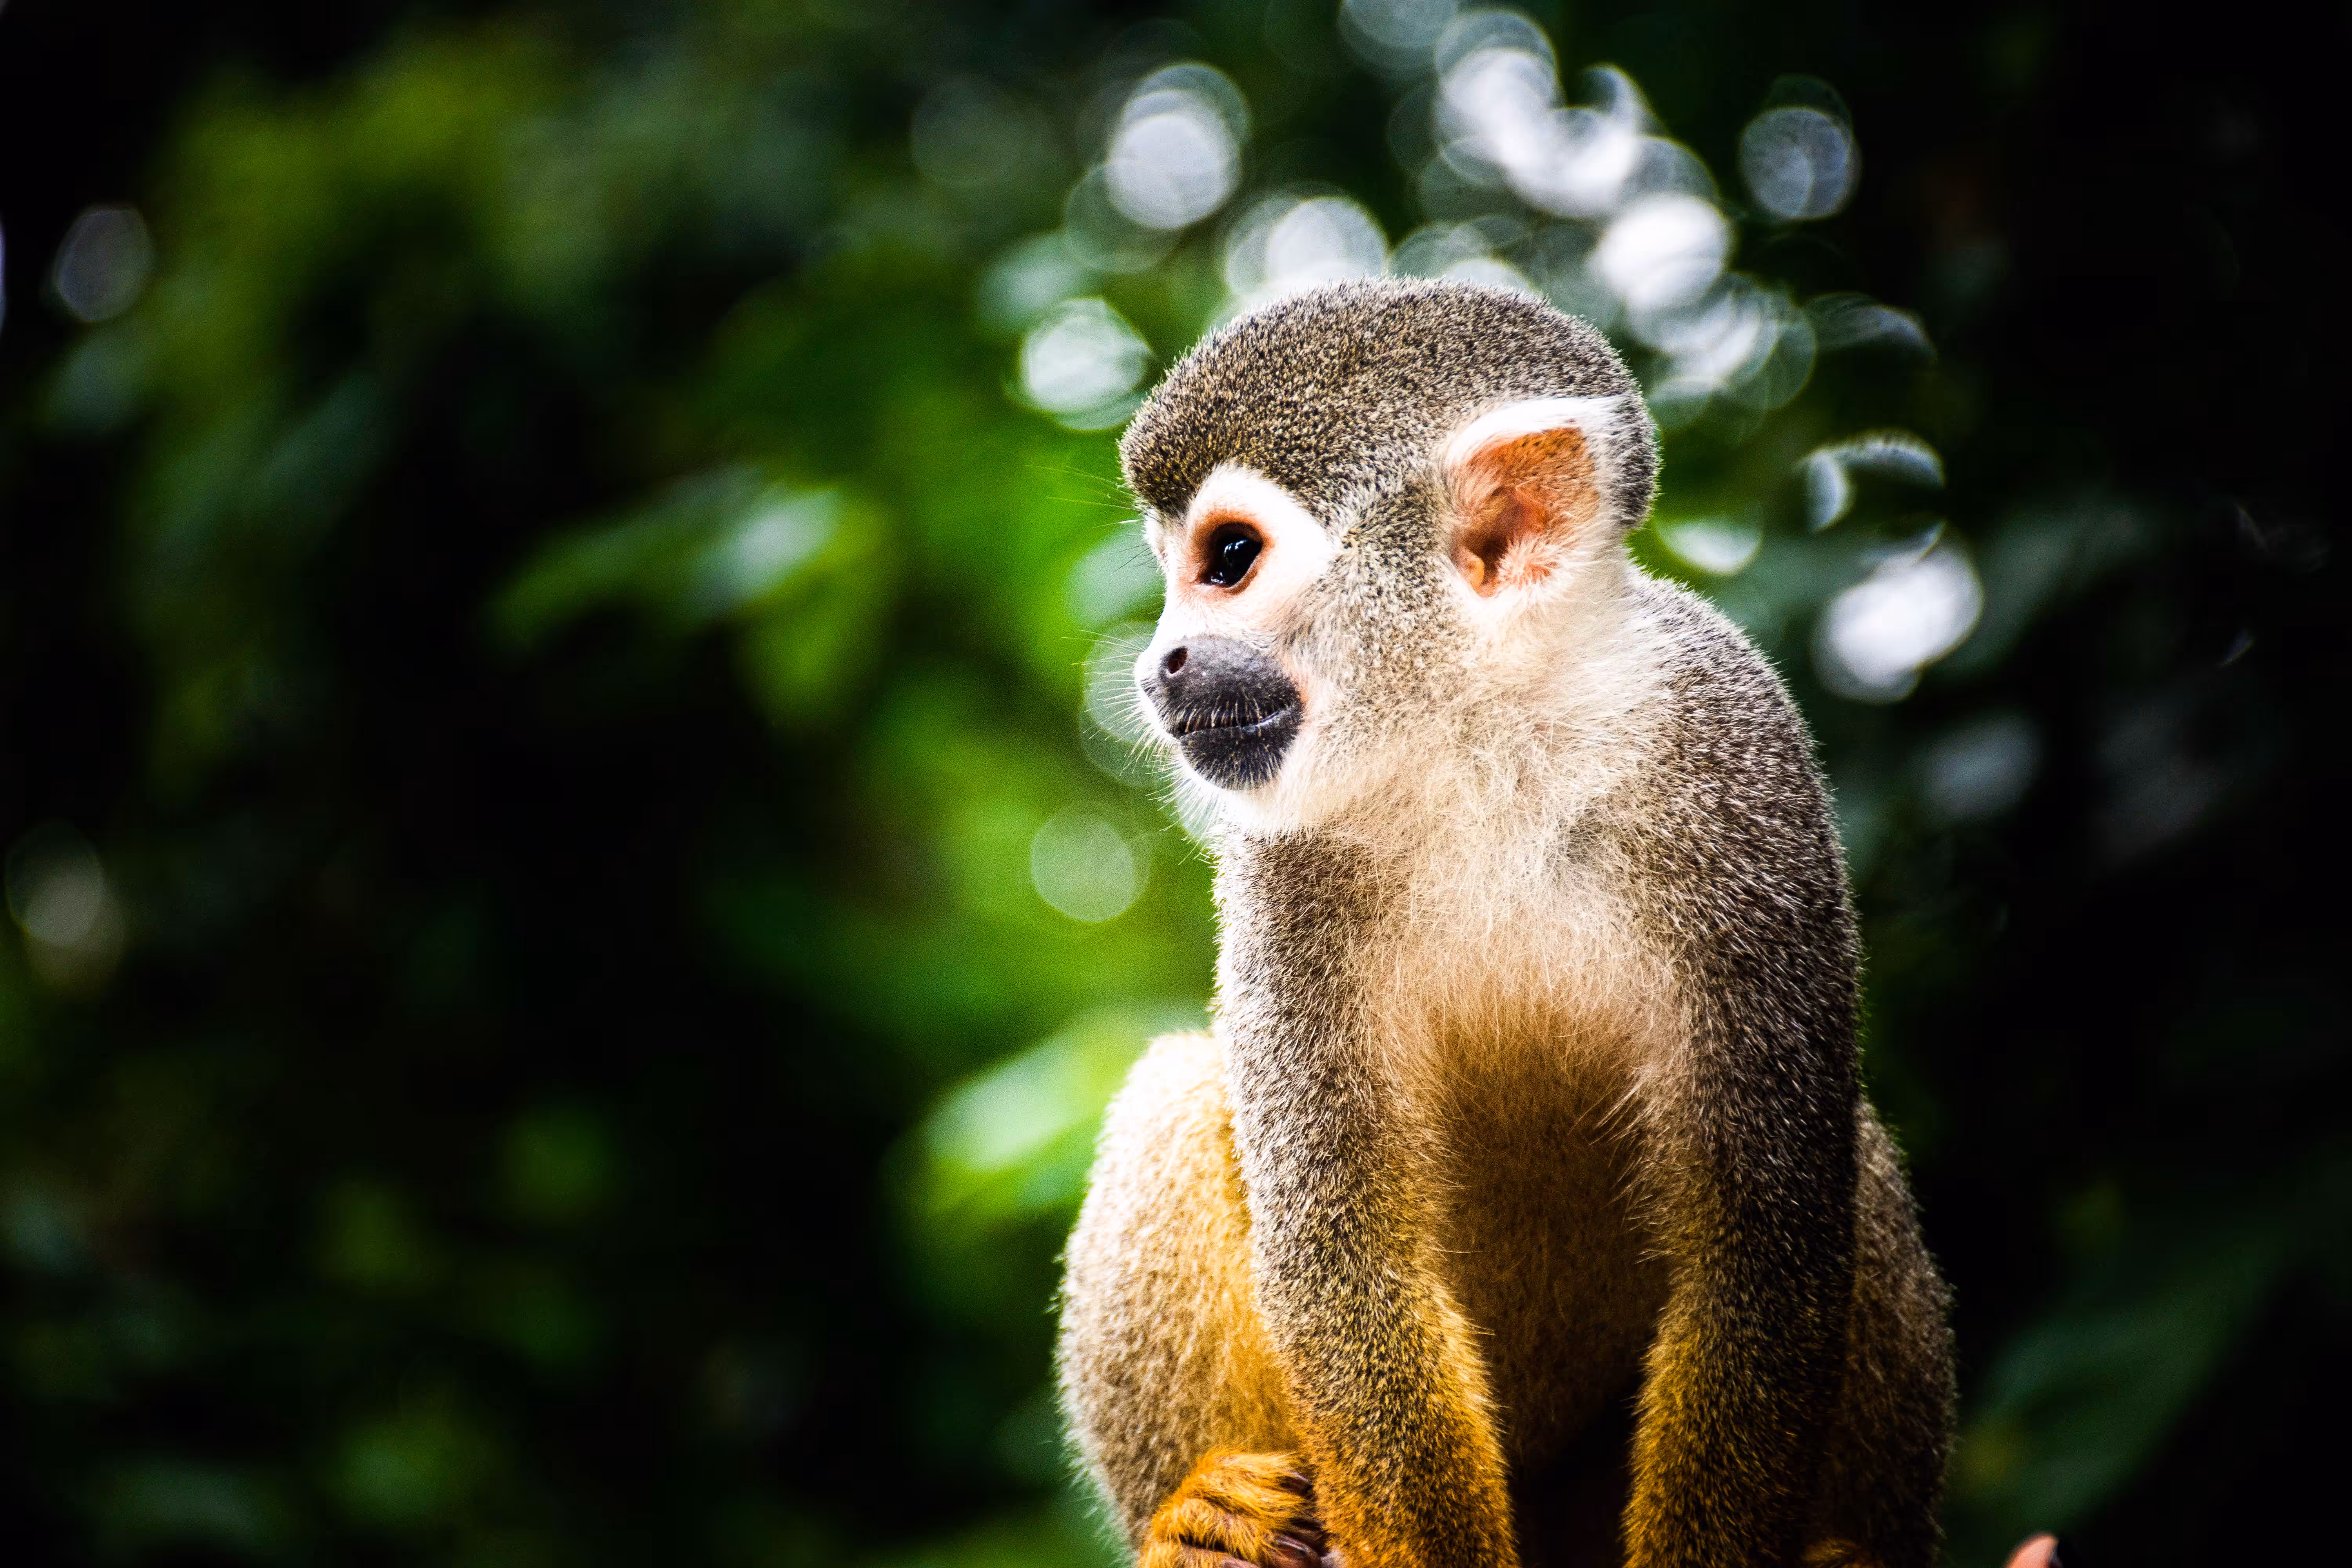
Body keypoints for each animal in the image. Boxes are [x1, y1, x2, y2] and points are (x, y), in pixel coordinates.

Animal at [1054, 279, 1954, 1568]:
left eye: (1226, 559)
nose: (1160, 663)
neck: (1487, 748)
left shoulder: (1744, 754)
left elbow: (1760, 1252)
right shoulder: (1282, 860)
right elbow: (1348, 1261)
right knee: (1179, 1088)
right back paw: (1200, 1520)